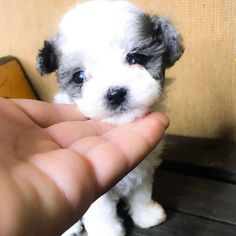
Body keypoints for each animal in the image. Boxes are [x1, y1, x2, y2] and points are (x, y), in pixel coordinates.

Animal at [37, 0, 184, 235]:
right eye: (79, 76)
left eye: (136, 58)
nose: (115, 94)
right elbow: (101, 211)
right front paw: (108, 230)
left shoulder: (144, 168)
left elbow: (141, 193)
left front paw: (146, 215)